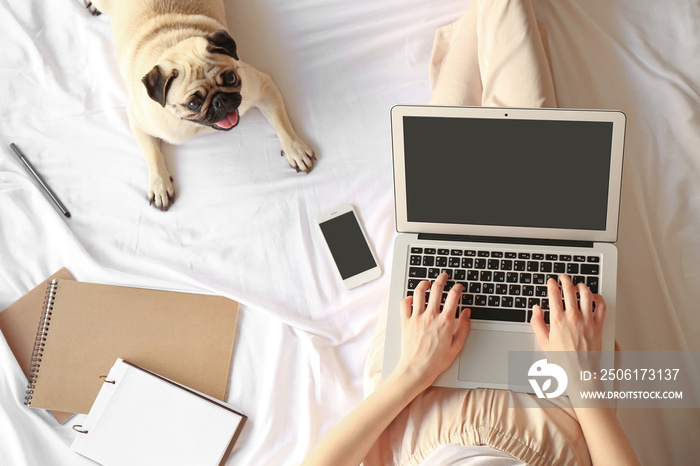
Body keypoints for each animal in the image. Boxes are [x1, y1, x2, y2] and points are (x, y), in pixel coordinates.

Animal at [83, 0, 316, 209]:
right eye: (193, 103)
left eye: (231, 78)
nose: (220, 100)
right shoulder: (140, 121)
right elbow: (153, 154)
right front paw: (159, 184)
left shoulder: (263, 86)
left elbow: (282, 124)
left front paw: (295, 150)